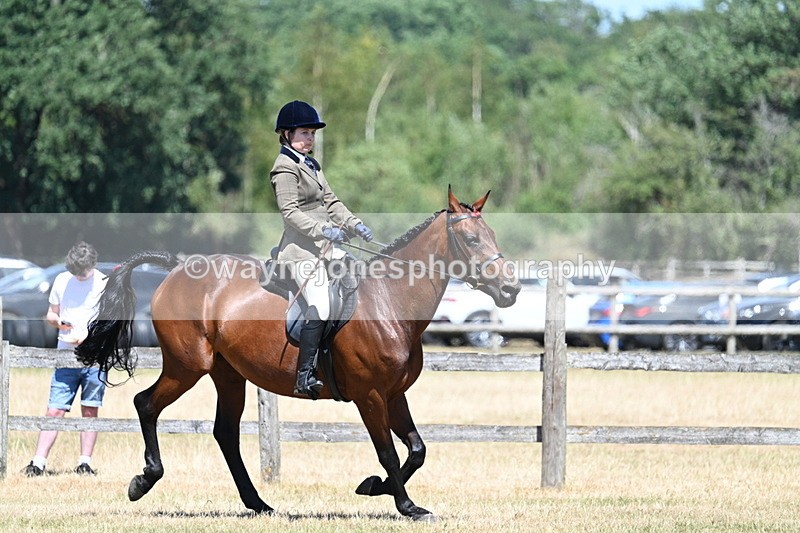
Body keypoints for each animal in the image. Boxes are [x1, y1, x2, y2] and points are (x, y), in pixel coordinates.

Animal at [76, 188, 520, 521]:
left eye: (493, 235)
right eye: (472, 240)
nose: (511, 289)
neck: (390, 302)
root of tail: (176, 269)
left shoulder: (394, 394)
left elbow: (417, 450)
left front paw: (372, 487)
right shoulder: (370, 396)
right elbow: (390, 453)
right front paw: (407, 506)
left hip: (227, 374)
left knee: (225, 433)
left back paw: (258, 503)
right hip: (188, 366)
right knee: (146, 404)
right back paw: (143, 481)